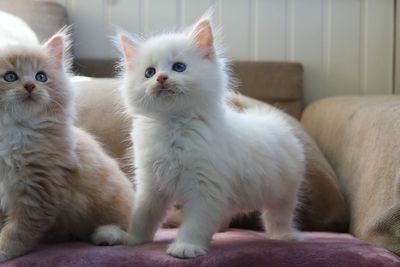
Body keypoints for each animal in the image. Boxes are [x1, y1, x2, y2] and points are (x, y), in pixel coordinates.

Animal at [0, 30, 135, 262]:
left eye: (41, 77)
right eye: (10, 77)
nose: (30, 86)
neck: (15, 132)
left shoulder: (37, 193)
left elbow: (18, 231)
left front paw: (3, 249)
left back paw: (107, 234)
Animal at [118, 13, 304, 260]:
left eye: (179, 67)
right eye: (149, 72)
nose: (161, 78)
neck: (173, 124)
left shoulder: (205, 186)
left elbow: (196, 223)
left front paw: (186, 246)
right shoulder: (151, 184)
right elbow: (143, 215)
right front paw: (132, 239)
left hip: (284, 191)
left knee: (278, 216)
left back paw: (285, 236)